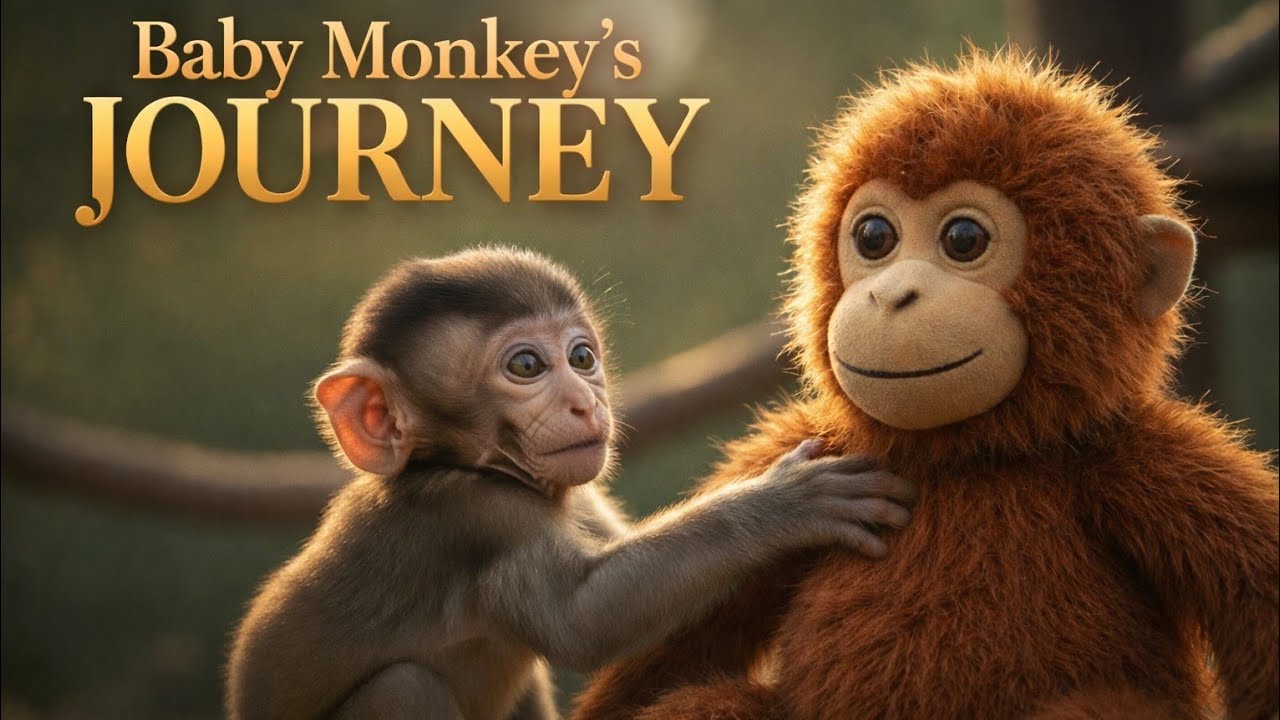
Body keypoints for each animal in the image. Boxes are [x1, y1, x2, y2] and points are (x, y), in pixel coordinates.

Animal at [224, 247, 916, 720]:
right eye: (527, 366)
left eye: (582, 357)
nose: (586, 404)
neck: (452, 463)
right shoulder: (475, 515)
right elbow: (581, 620)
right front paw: (783, 504)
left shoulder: (576, 487)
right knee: (403, 686)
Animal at [573, 50, 1279, 720]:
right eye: (874, 236)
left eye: (963, 239)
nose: (889, 295)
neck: (959, 458)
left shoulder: (1143, 463)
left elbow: (1256, 584)